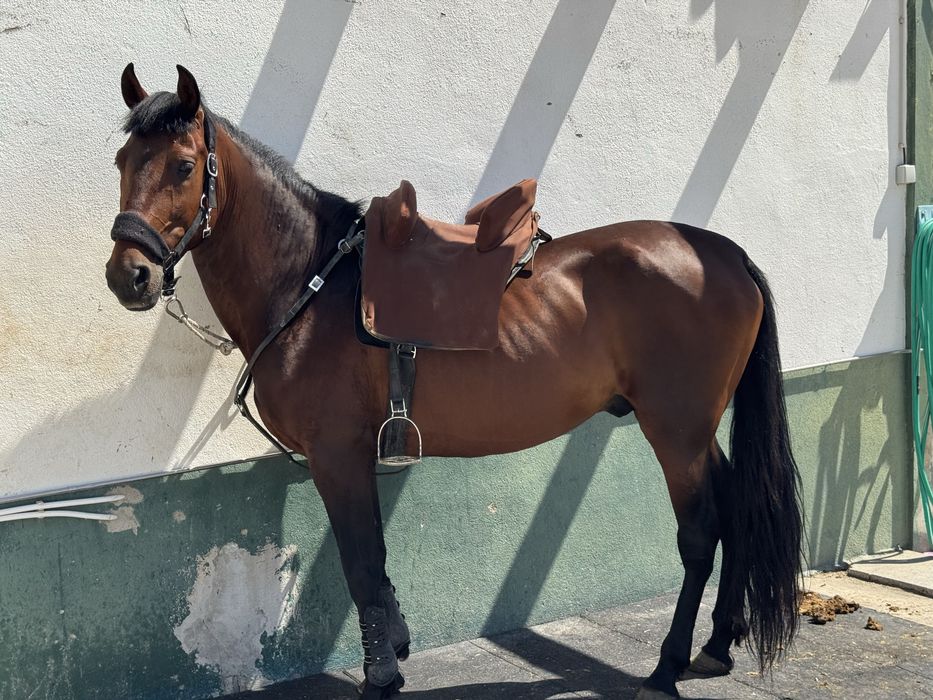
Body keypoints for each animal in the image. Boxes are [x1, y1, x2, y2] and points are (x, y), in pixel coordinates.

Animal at [104, 64, 802, 699]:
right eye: (121, 160)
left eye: (184, 166)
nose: (128, 275)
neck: (312, 281)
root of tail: (724, 254)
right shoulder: (354, 456)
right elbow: (376, 562)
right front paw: (396, 647)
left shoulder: (337, 455)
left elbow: (361, 565)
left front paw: (380, 678)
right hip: (696, 431)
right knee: (737, 508)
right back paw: (716, 645)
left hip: (675, 432)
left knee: (700, 534)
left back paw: (665, 669)